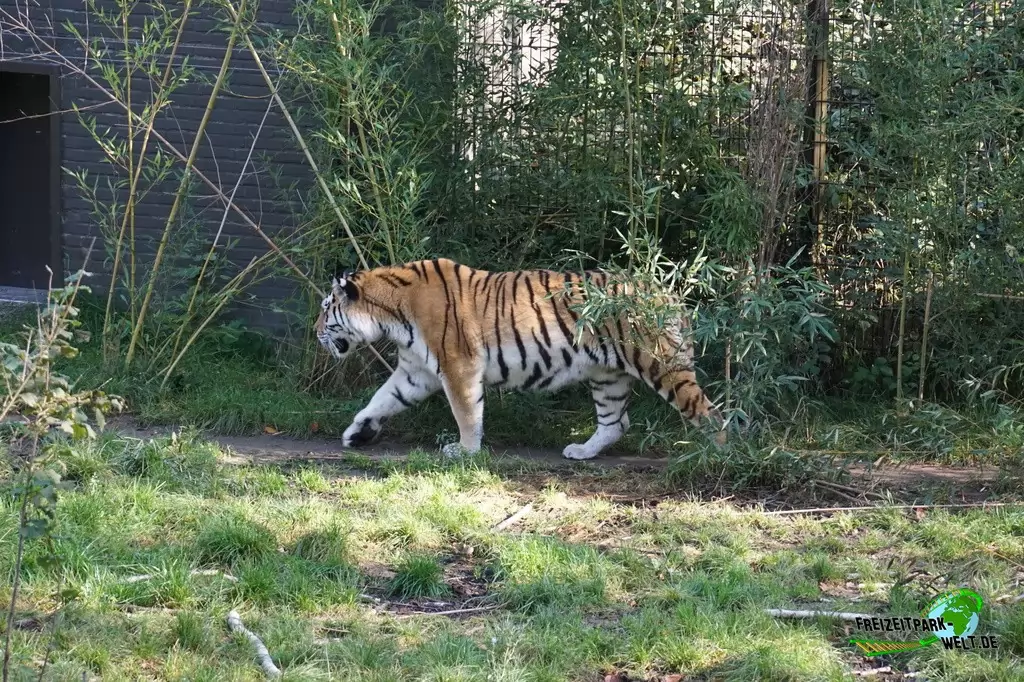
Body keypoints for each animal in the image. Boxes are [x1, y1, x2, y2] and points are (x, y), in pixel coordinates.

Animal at [315, 258, 727, 460]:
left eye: (325, 309)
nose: (315, 330)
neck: (391, 315)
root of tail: (667, 293)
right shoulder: (415, 371)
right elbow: (381, 400)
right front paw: (357, 433)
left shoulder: (458, 365)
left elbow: (466, 413)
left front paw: (465, 451)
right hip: (607, 376)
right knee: (616, 423)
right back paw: (581, 452)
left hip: (663, 365)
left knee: (711, 413)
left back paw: (721, 456)